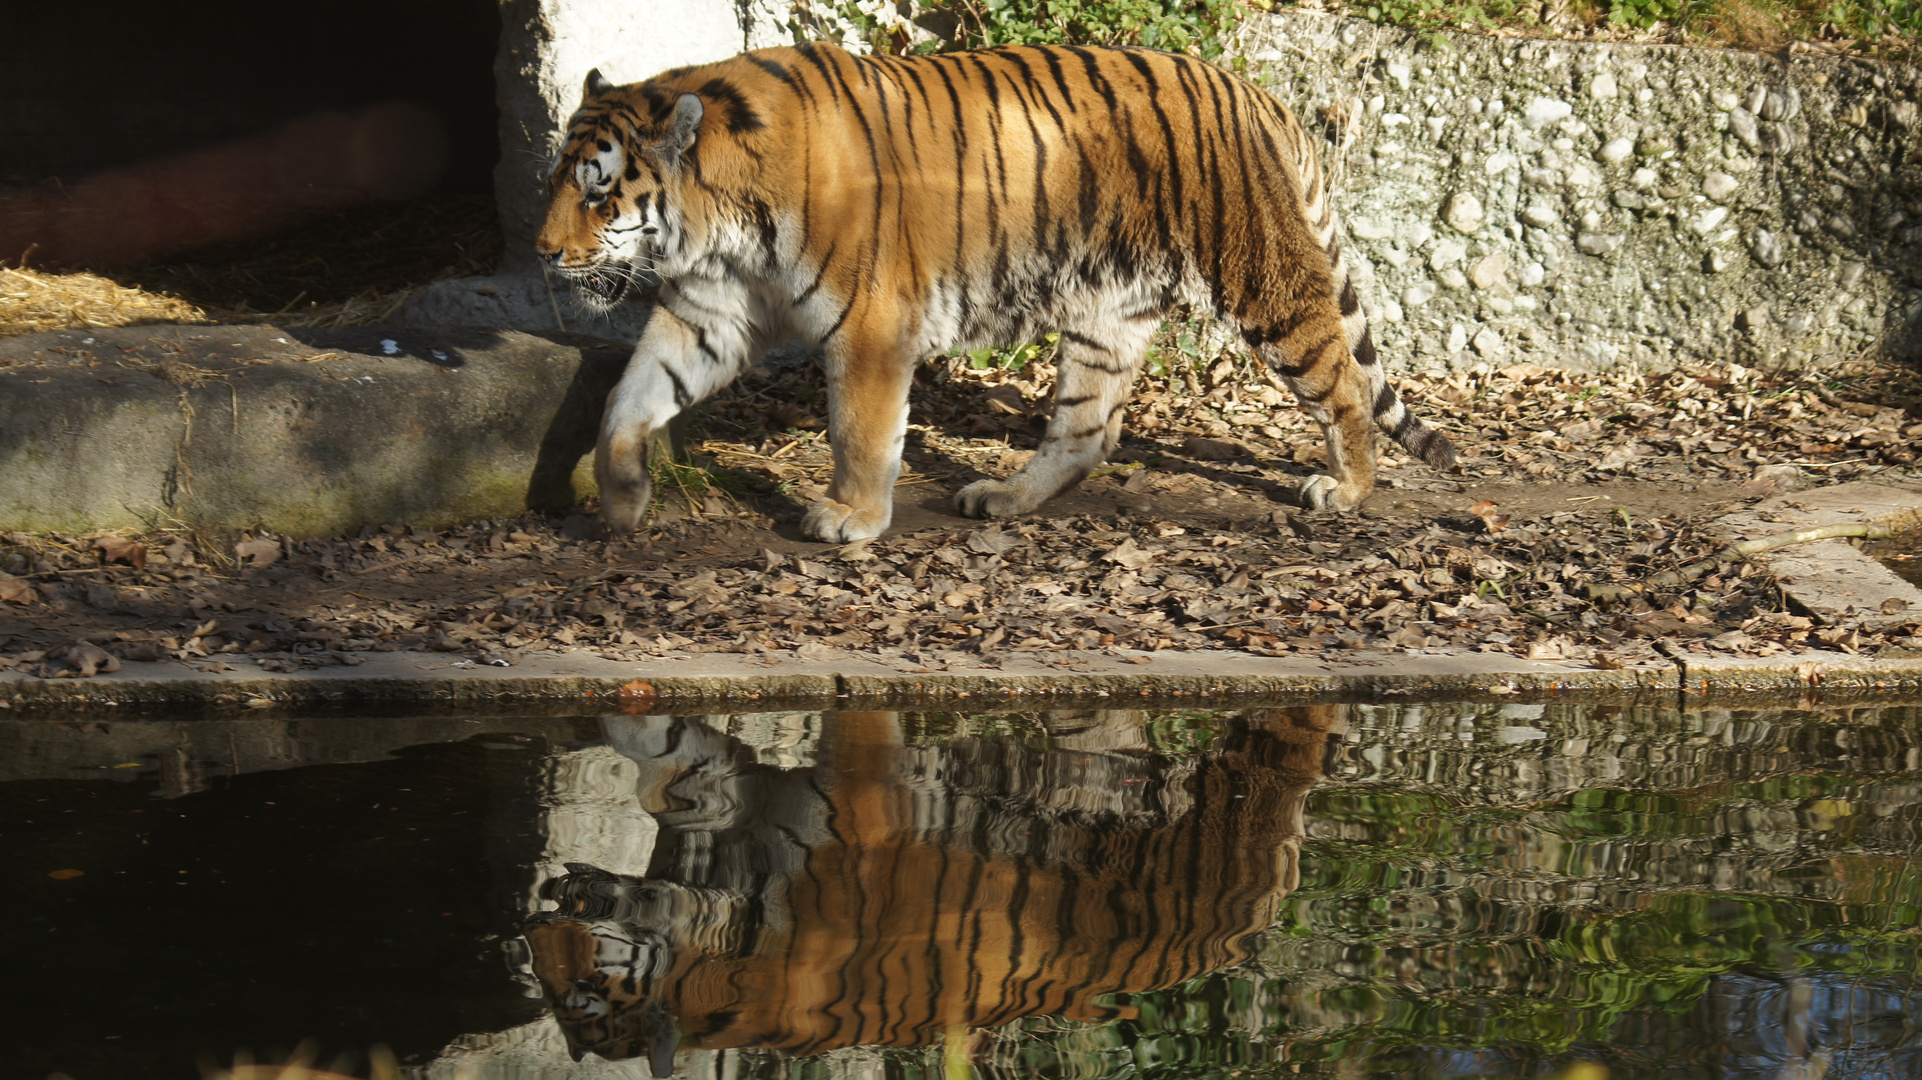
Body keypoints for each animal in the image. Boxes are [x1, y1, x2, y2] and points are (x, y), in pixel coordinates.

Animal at [518, 707, 1345, 1068]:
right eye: (551, 993)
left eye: (587, 992)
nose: (534, 923)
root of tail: (1246, 929)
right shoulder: (731, 813)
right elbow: (668, 775)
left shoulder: (859, 791)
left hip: (1242, 788)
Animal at [534, 42, 1445, 538]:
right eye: (558, 181)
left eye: (599, 194)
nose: (543, 253)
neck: (718, 227)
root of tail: (1257, 93)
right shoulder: (710, 311)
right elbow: (628, 397)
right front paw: (623, 498)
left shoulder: (871, 320)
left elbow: (859, 429)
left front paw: (850, 518)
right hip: (1106, 311)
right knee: (1087, 432)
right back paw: (1003, 496)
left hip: (1261, 278)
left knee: (1343, 381)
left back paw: (1348, 488)